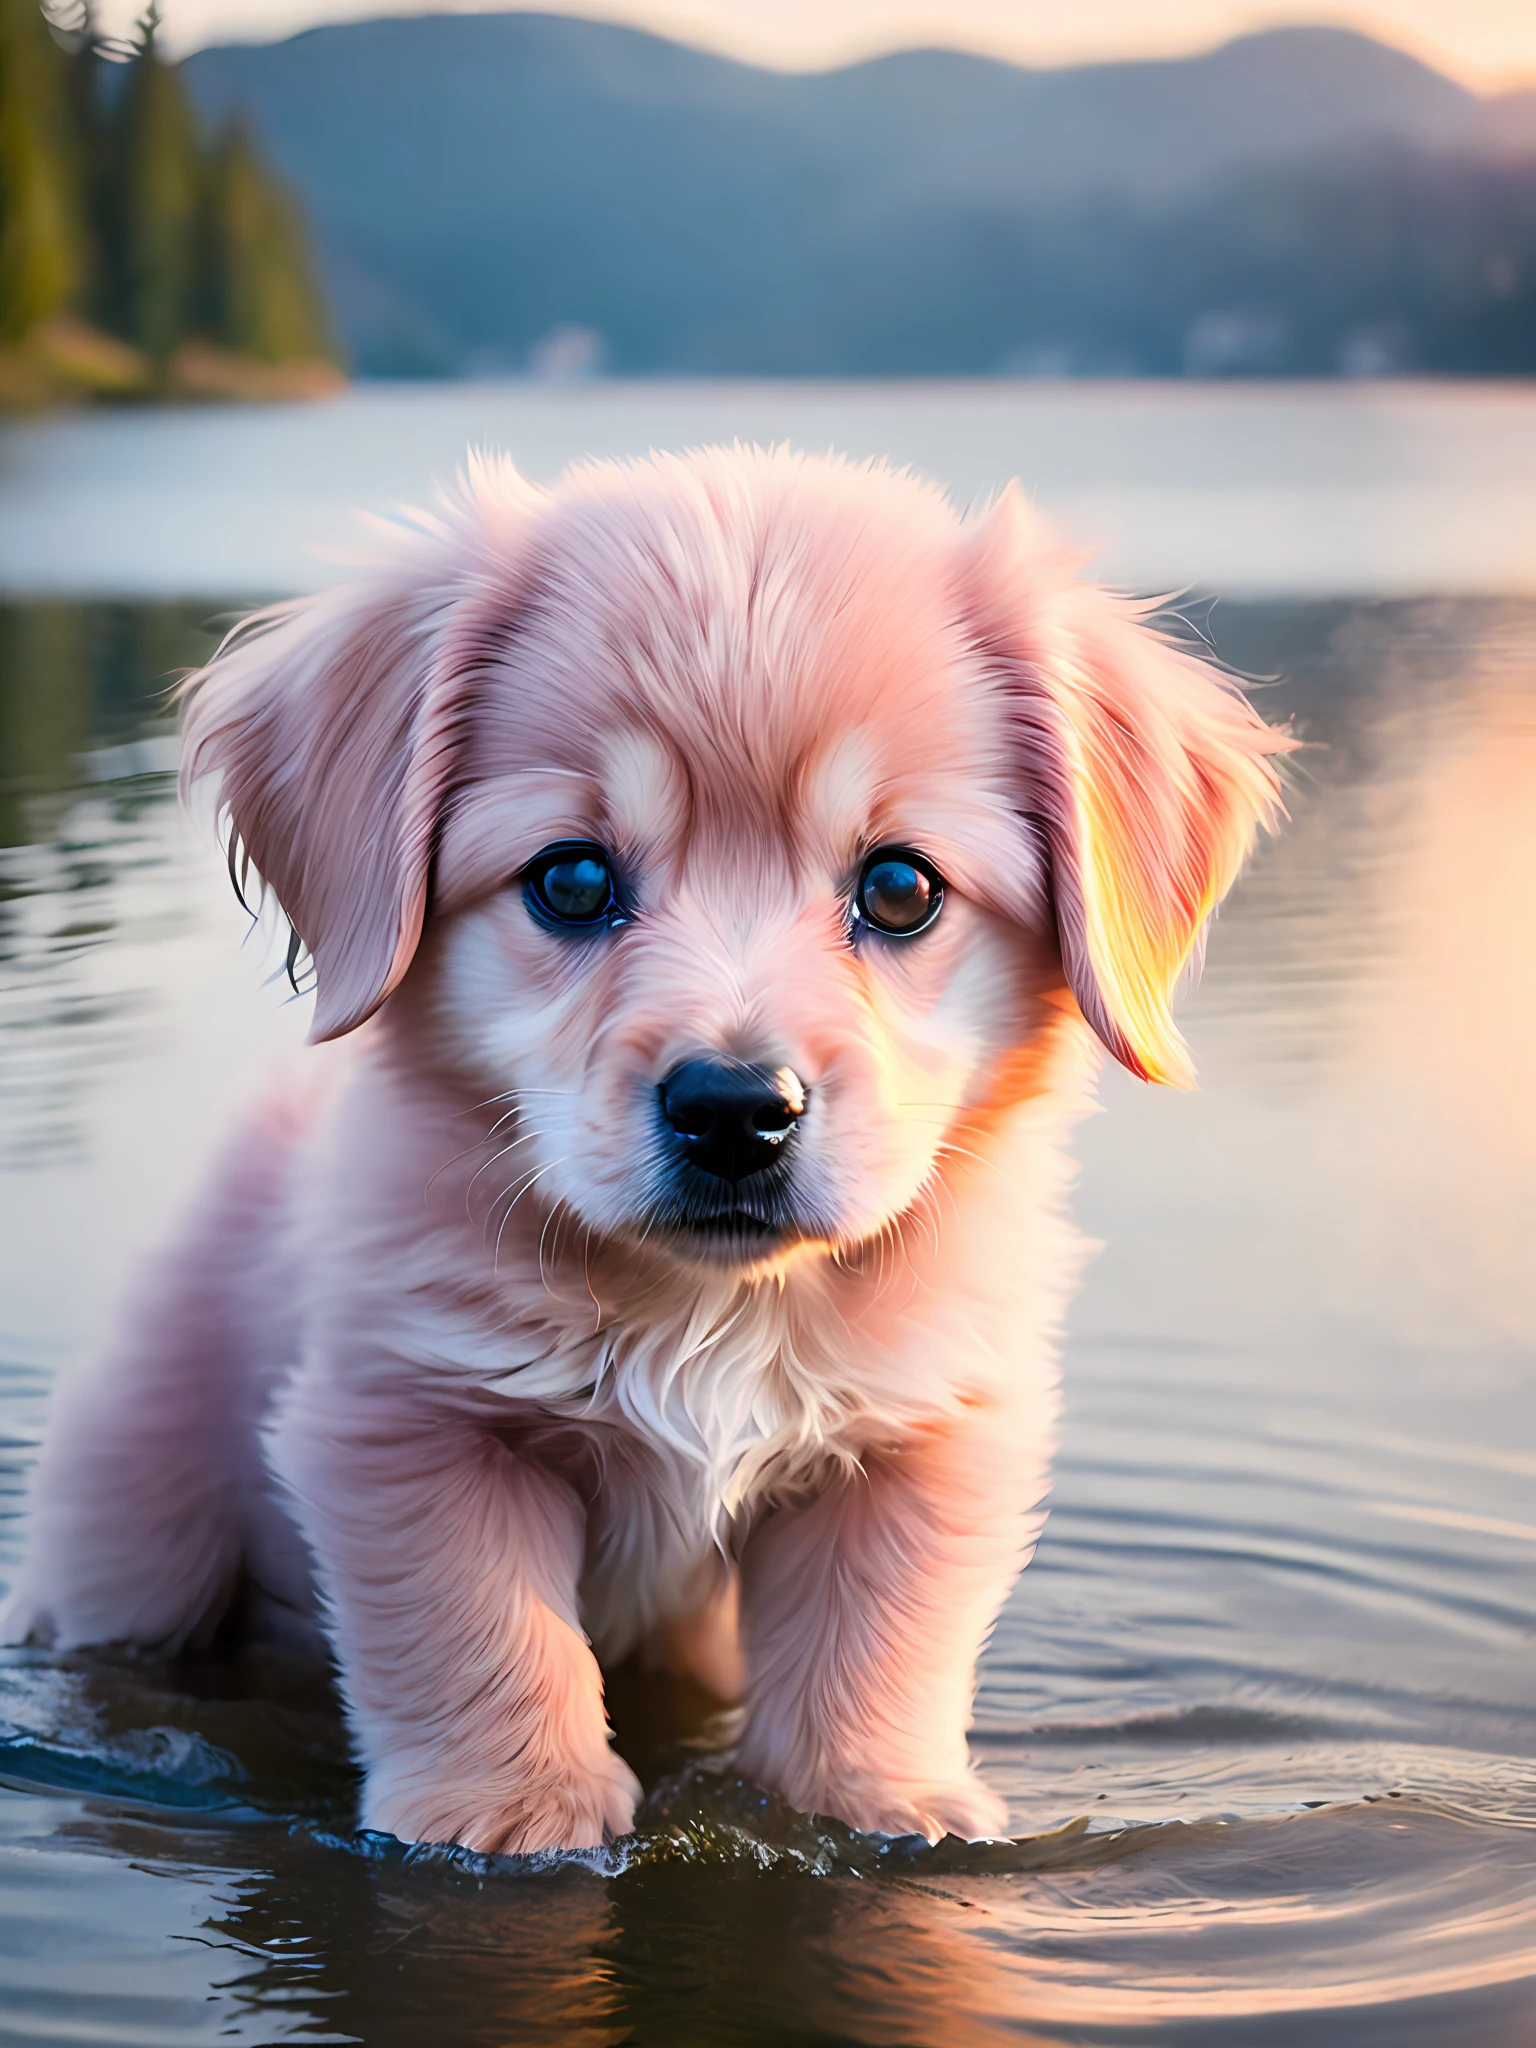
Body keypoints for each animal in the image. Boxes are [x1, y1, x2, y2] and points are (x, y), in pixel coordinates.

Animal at [6, 448, 1294, 1859]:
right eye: (571, 881)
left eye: (900, 889)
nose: (735, 1108)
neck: (708, 1310)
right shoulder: (410, 1414)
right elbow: (479, 1630)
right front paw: (512, 1813)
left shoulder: (921, 1433)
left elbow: (882, 1640)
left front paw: (878, 1799)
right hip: (135, 1514)